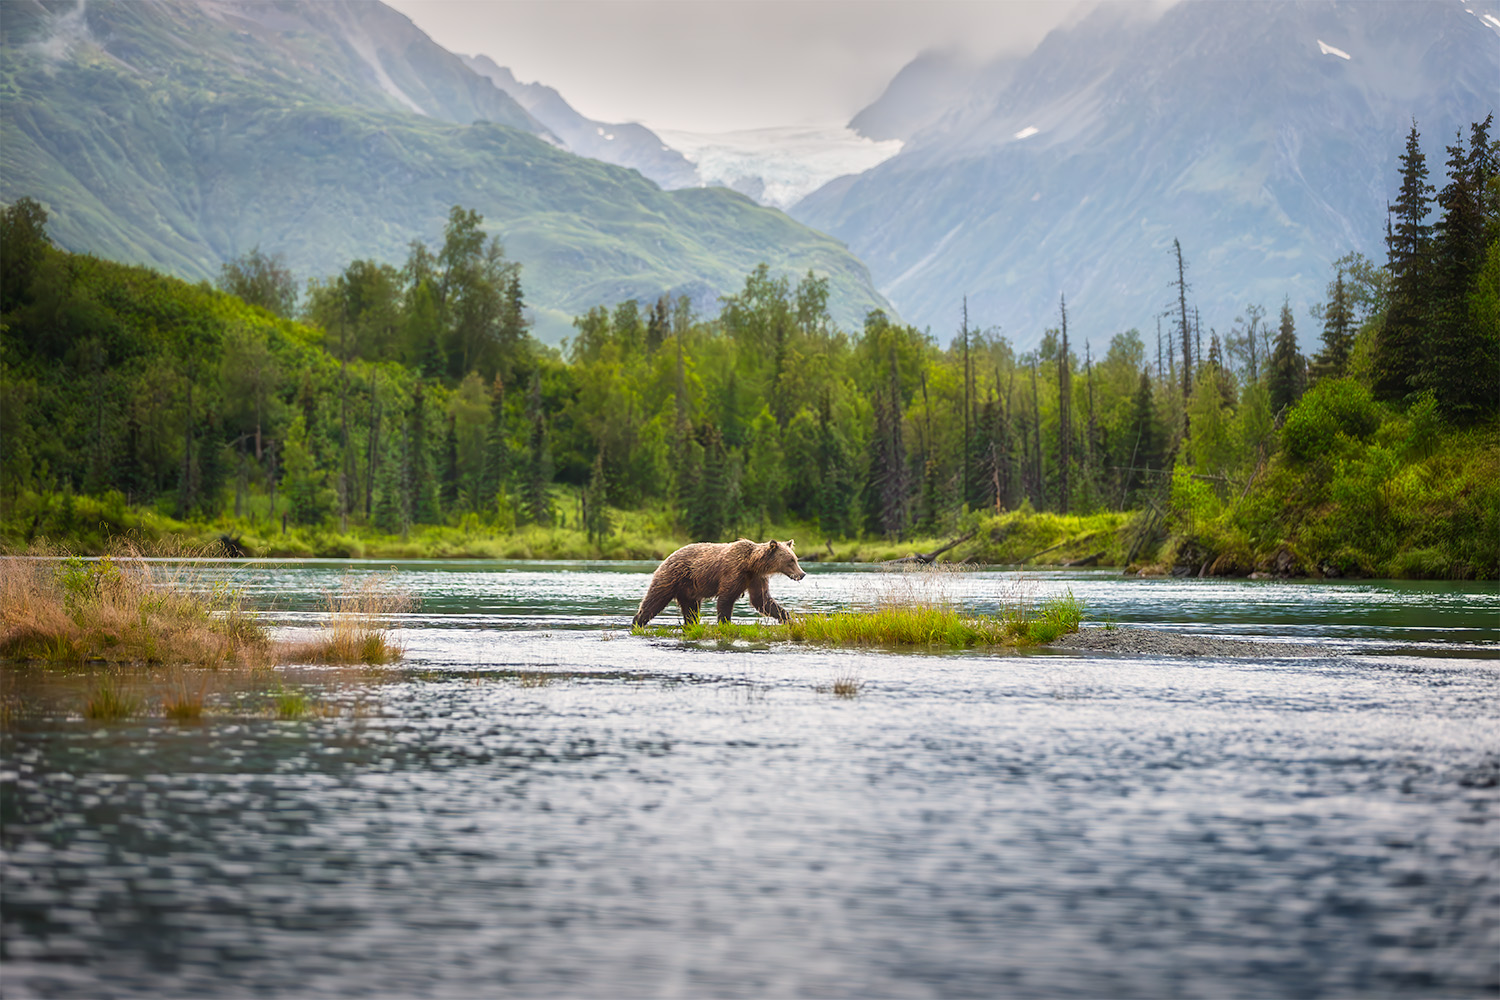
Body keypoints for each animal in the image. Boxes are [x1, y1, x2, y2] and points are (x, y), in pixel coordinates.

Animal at [632, 538, 806, 627]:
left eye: (795, 558)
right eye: (791, 560)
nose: (802, 574)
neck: (752, 564)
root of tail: (668, 556)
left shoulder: (756, 578)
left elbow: (762, 601)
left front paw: (789, 619)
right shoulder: (734, 573)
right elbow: (726, 600)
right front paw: (725, 624)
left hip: (688, 590)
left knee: (691, 610)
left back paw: (691, 625)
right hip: (671, 577)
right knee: (654, 600)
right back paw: (637, 622)